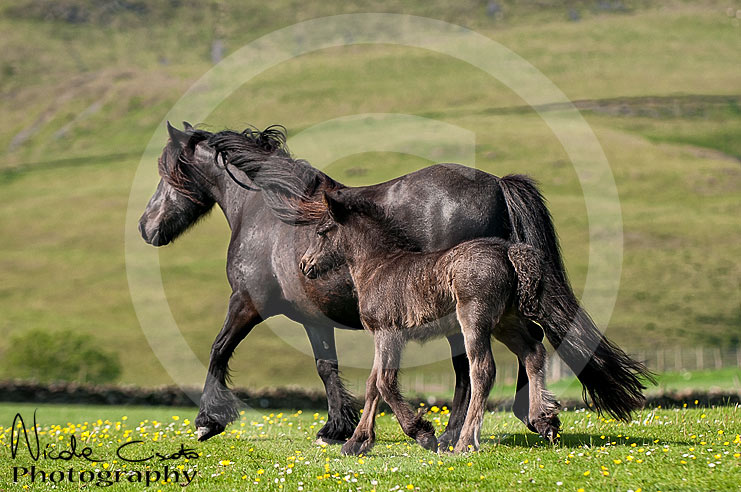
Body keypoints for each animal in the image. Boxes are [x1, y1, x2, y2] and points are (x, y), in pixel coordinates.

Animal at [298, 188, 652, 454]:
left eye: (322, 232)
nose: (304, 264)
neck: (380, 265)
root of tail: (508, 252)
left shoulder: (388, 332)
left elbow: (382, 383)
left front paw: (421, 433)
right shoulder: (386, 337)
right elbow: (374, 385)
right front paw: (358, 442)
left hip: (475, 320)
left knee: (483, 370)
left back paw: (465, 442)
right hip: (506, 321)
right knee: (533, 352)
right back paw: (543, 419)